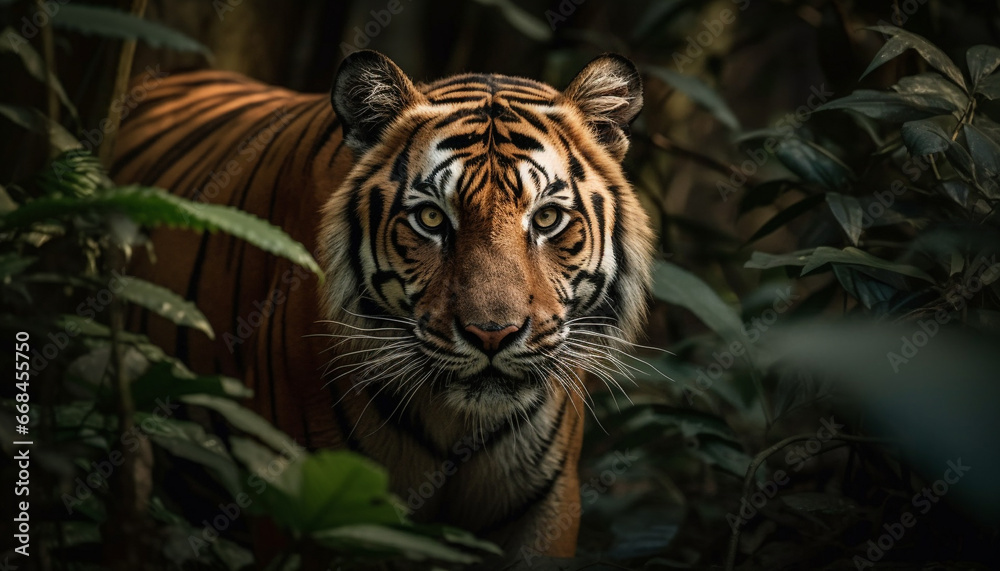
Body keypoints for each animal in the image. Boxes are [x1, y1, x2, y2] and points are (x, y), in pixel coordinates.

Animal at [112, 50, 654, 566]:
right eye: (431, 218)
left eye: (546, 219)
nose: (492, 334)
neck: (456, 421)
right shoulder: (308, 508)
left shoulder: (545, 507)